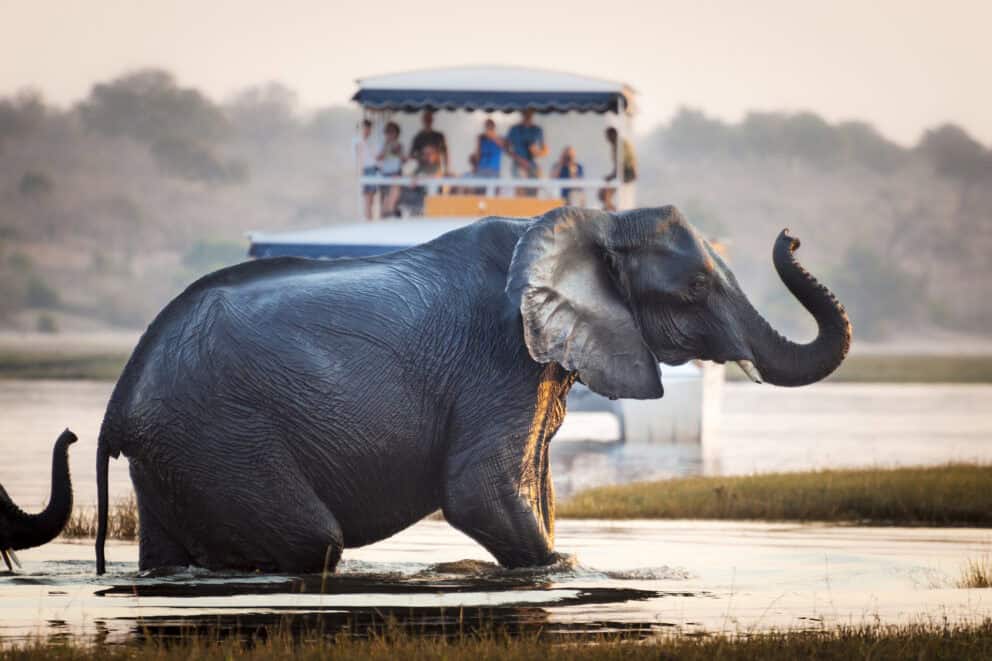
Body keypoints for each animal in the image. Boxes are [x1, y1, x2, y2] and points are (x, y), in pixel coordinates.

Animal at [94, 206, 850, 575]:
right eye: (694, 287)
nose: (791, 236)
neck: (585, 225)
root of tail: (118, 405)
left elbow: (534, 490)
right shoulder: (498, 357)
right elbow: (479, 490)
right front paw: (566, 568)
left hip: (181, 454)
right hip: (221, 436)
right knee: (312, 540)